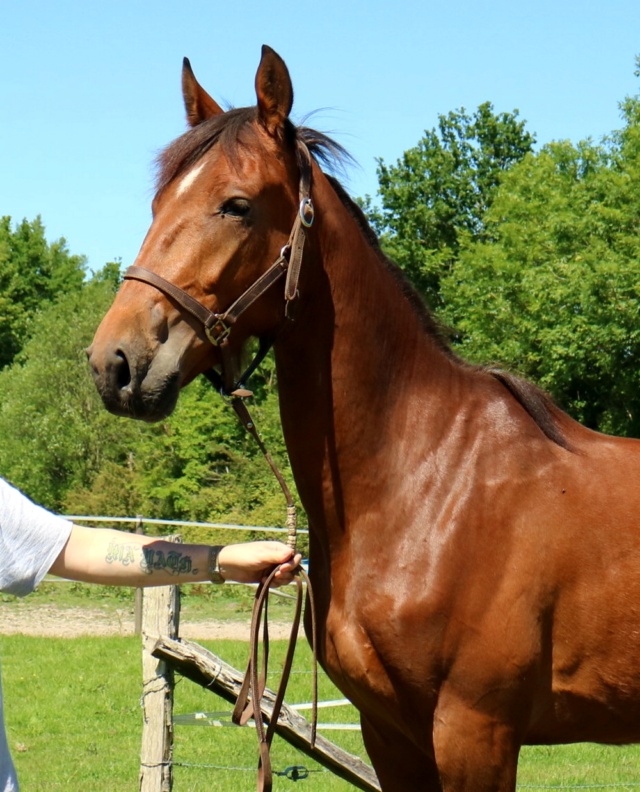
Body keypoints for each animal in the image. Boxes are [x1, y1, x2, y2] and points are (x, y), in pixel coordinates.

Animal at [87, 46, 640, 788]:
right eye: (157, 203)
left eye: (236, 206)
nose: (115, 363)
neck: (428, 486)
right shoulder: (389, 732)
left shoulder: (476, 733)